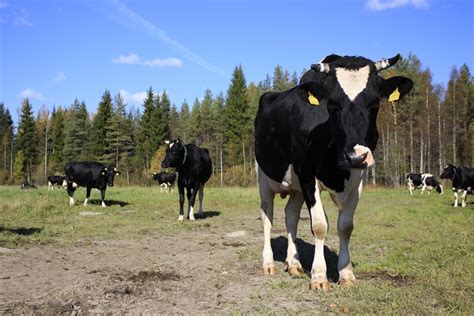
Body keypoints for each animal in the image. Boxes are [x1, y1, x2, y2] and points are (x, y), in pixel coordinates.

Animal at [254, 54, 412, 292]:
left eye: (374, 104)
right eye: (333, 105)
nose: (355, 157)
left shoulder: (358, 179)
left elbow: (345, 226)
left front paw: (346, 274)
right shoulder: (308, 175)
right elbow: (320, 225)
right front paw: (319, 276)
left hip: (296, 186)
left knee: (291, 216)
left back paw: (294, 264)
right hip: (264, 177)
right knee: (267, 216)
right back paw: (268, 264)